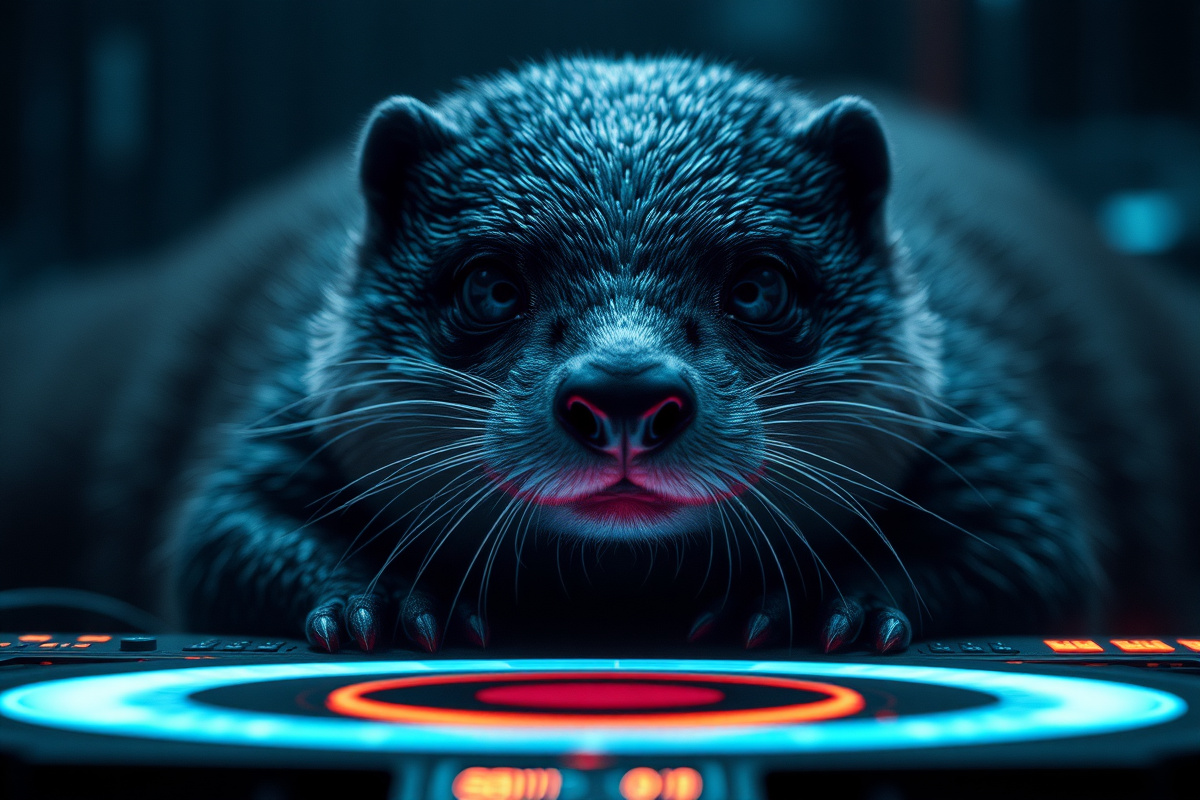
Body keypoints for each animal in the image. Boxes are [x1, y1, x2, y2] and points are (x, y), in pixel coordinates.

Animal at [101, 55, 1200, 653]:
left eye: (756, 283)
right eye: (492, 283)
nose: (624, 392)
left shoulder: (996, 436)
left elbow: (1036, 555)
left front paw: (816, 604)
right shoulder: (278, 425)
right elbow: (216, 535)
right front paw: (383, 603)